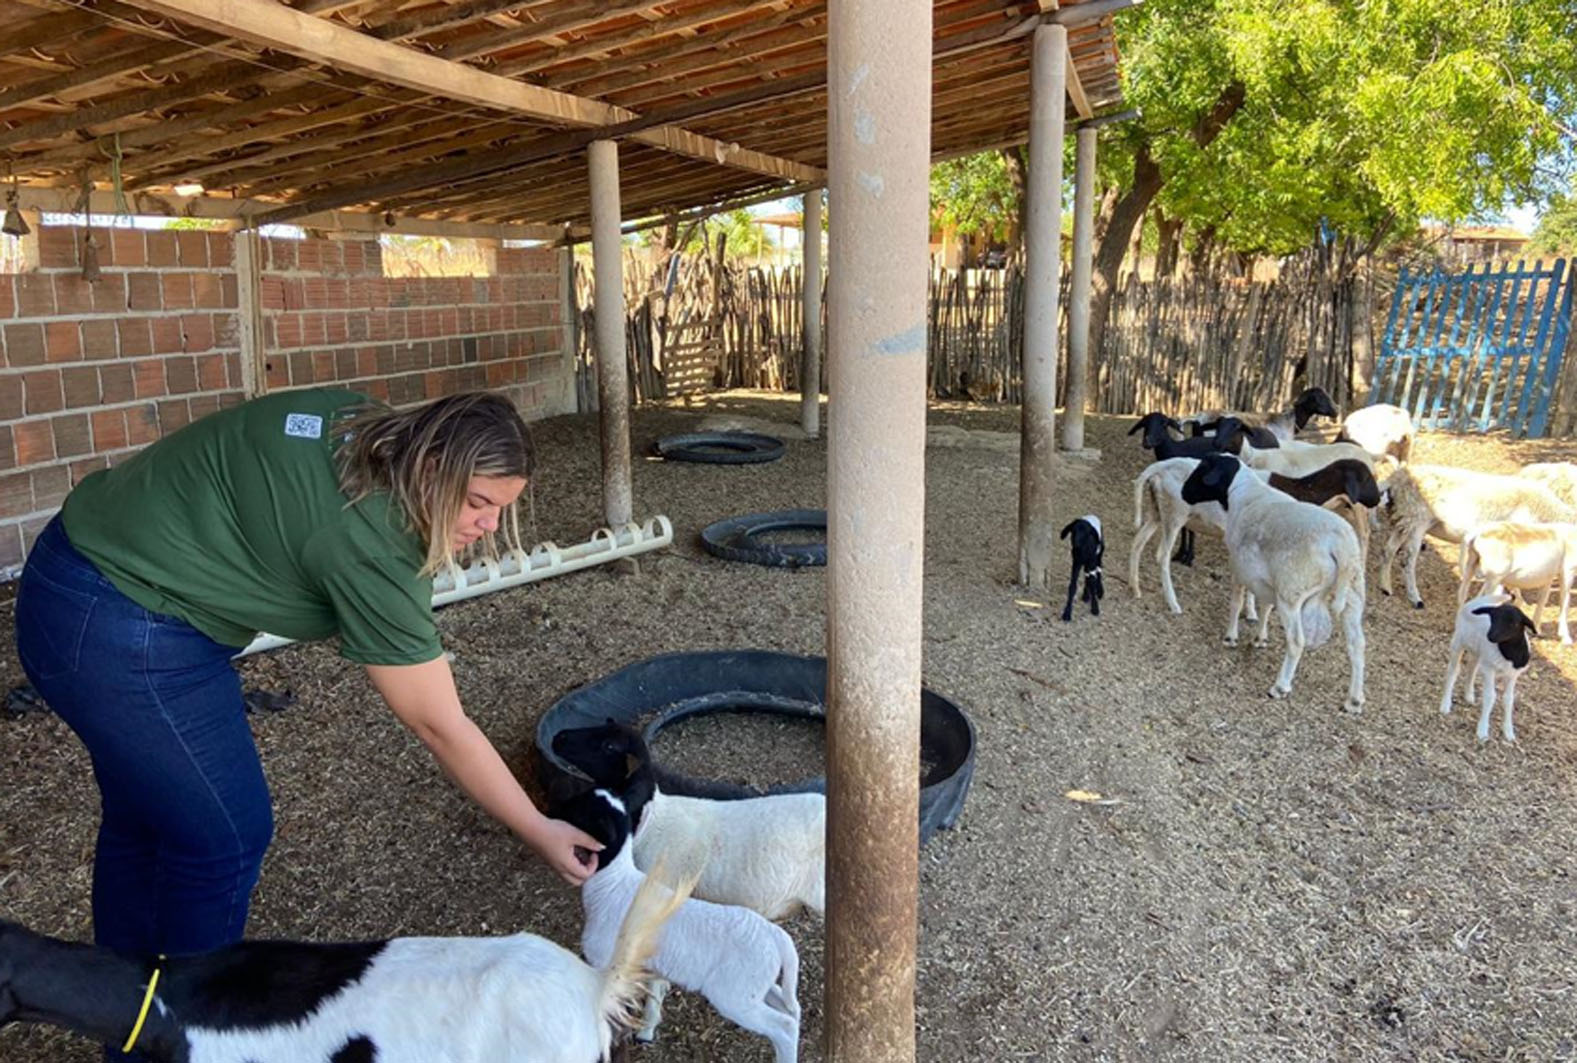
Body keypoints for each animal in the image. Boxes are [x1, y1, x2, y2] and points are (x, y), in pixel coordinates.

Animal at [1185, 451, 1368, 706]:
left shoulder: (1238, 566)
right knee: (1357, 645)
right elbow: (1265, 607)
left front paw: (1231, 637)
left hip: (1292, 593)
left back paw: (1280, 686)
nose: (1184, 492)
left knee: (1297, 641)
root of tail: (1339, 546)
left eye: (1202, 469)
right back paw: (1354, 700)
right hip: (1353, 595)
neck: (1242, 492)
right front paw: (1260, 638)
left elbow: (1236, 602)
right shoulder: (1265, 578)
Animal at [1375, 463, 1570, 605]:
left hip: (1404, 519)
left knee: (1388, 550)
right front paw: (1516, 598)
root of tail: (1396, 478)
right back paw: (1415, 598)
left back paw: (1386, 587)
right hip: (1417, 519)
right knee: (1408, 560)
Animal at [1444, 593, 1539, 741]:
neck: (1509, 654)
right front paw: (1482, 730)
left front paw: (1508, 731)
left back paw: (1469, 695)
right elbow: (1490, 696)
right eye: (1492, 619)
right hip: (1458, 642)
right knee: (1453, 671)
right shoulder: (1489, 669)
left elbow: (1508, 699)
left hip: (1478, 651)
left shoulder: (1512, 675)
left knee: (1472, 668)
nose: (1490, 636)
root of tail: (1478, 600)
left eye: (1513, 623)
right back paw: (1445, 704)